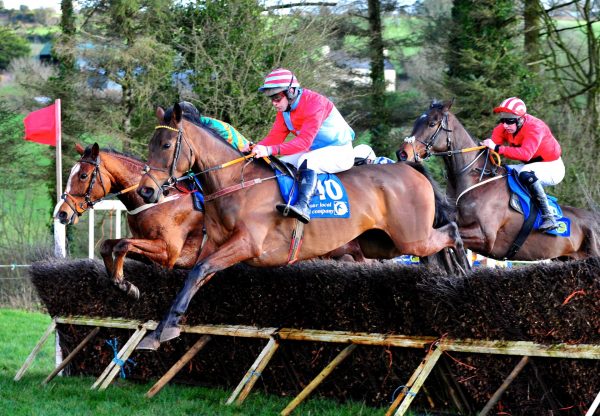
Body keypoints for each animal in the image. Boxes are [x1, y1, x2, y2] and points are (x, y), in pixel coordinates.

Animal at [56, 144, 206, 300]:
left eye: (83, 175)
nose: (62, 213)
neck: (158, 200)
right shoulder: (146, 248)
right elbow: (108, 245)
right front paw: (117, 277)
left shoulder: (169, 253)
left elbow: (123, 245)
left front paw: (122, 282)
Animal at [136, 102, 468, 350]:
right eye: (151, 144)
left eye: (166, 144)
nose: (146, 191)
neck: (237, 183)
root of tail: (410, 166)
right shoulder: (217, 248)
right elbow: (194, 277)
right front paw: (160, 330)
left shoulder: (246, 244)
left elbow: (196, 271)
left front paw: (162, 330)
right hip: (383, 244)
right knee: (434, 251)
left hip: (411, 238)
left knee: (451, 232)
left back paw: (463, 272)